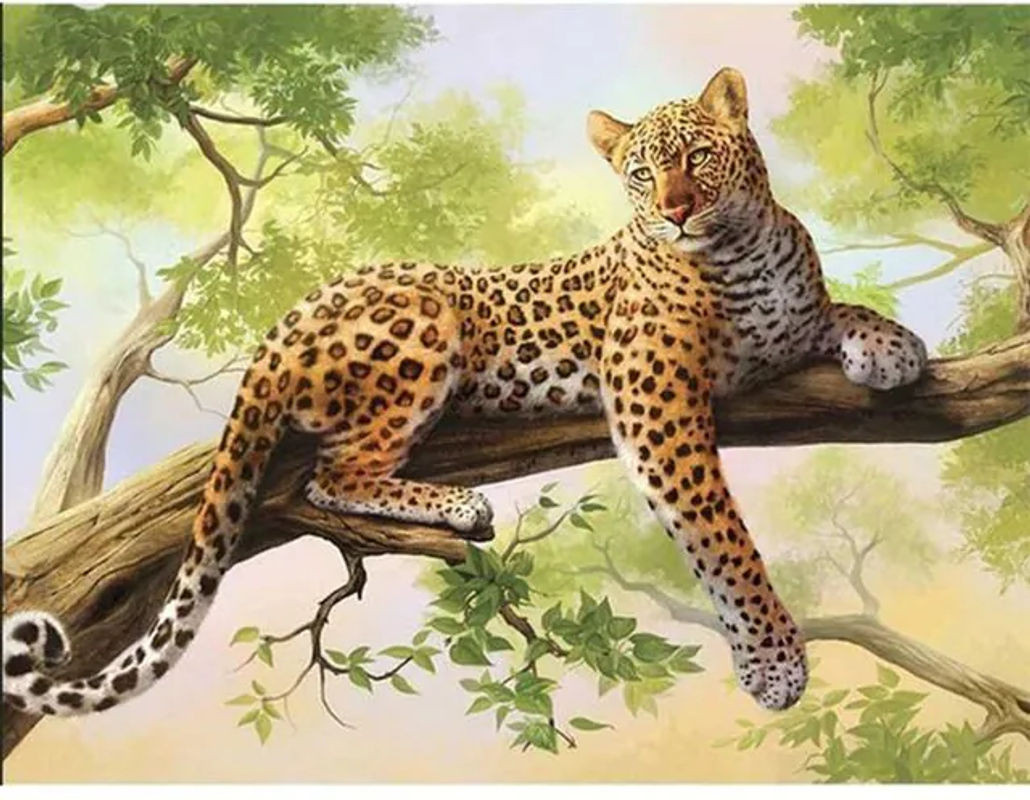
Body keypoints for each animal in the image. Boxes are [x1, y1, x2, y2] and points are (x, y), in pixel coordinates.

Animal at [3, 68, 926, 719]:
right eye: (639, 173)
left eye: (696, 157)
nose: (674, 212)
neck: (742, 247)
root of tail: (282, 323)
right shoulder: (653, 399)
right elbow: (721, 535)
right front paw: (774, 660)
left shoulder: (782, 328)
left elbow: (830, 310)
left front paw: (892, 344)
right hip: (425, 322)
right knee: (332, 475)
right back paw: (458, 506)